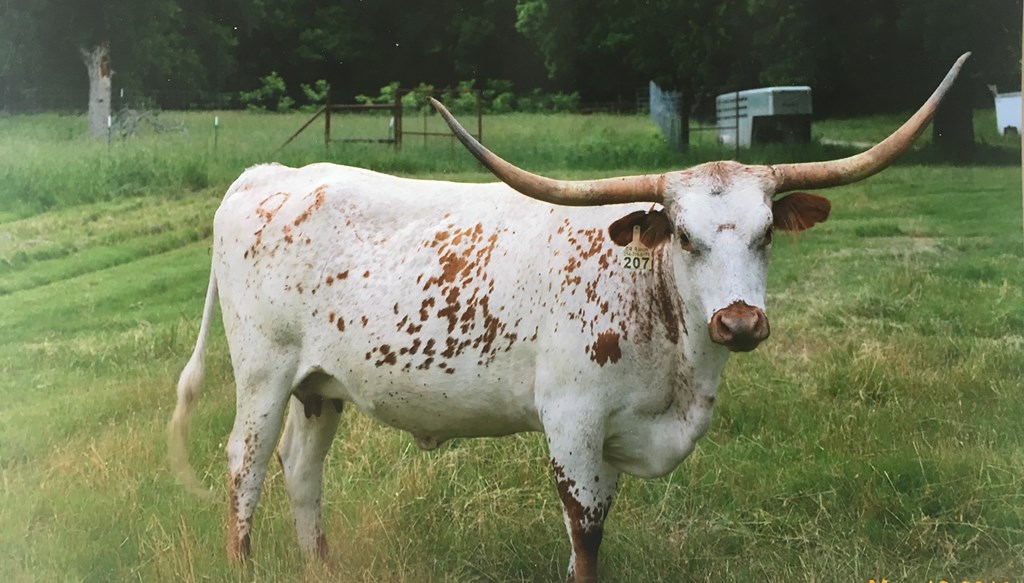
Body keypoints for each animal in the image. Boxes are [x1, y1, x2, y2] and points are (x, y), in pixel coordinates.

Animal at [169, 54, 968, 582]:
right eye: (685, 237)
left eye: (768, 232)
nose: (739, 324)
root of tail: (271, 176)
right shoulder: (573, 423)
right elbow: (585, 539)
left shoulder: (612, 439)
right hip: (265, 373)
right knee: (244, 465)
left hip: (320, 386)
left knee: (302, 469)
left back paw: (322, 566)